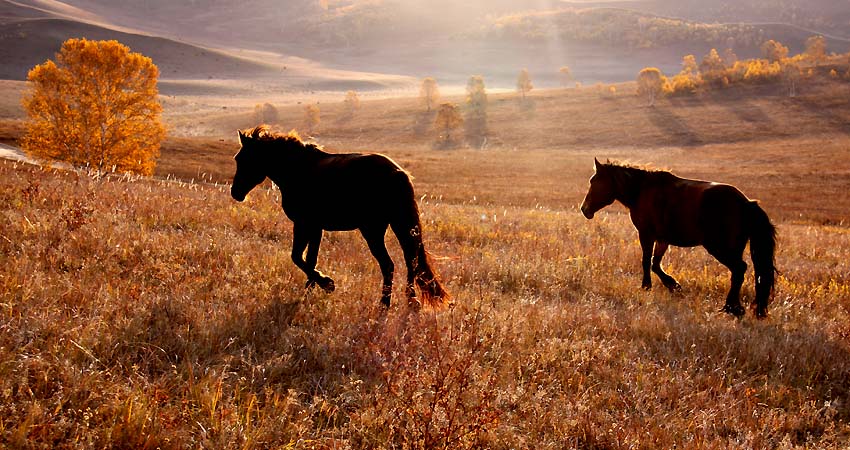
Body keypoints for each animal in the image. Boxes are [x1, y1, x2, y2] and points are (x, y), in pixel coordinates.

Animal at [229, 126, 448, 310]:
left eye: (243, 159)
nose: (236, 192)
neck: (298, 170)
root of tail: (397, 172)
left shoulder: (304, 224)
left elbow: (298, 258)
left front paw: (326, 284)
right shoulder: (315, 228)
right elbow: (309, 259)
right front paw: (309, 290)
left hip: (374, 230)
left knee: (389, 264)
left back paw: (384, 304)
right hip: (399, 225)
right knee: (411, 260)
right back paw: (411, 300)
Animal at [580, 160, 772, 318]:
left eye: (594, 182)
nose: (584, 209)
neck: (641, 191)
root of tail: (746, 203)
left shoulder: (646, 234)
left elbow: (646, 261)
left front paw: (646, 286)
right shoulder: (663, 239)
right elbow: (655, 264)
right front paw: (673, 285)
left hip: (719, 248)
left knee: (739, 269)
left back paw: (731, 307)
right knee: (738, 272)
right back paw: (735, 307)